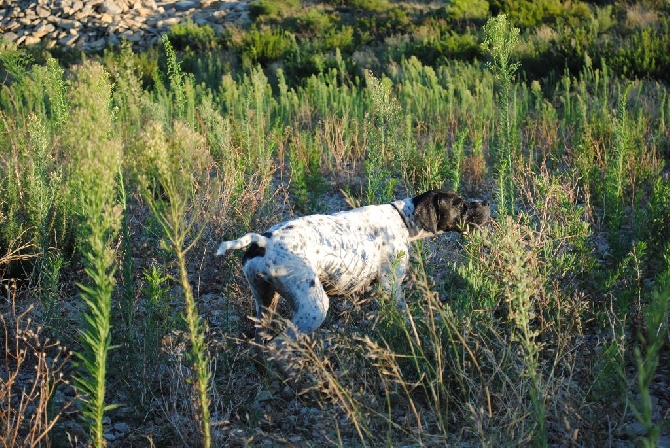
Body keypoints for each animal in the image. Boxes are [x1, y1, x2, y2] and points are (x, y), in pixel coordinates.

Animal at [218, 189, 490, 344]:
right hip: (314, 308)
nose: (487, 203)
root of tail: (262, 240)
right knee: (279, 345)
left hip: (265, 304)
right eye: (459, 204)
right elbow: (405, 316)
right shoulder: (392, 287)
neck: (403, 219)